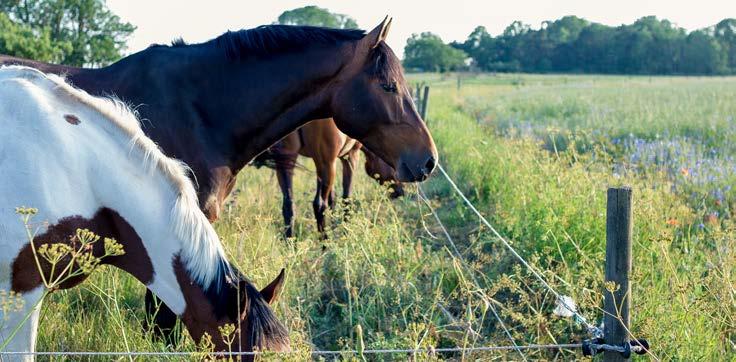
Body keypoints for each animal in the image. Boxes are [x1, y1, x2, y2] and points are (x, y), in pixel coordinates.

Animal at [254, 118, 402, 238]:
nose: (399, 192)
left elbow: (333, 199)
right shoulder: (349, 157)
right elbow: (346, 199)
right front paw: (345, 233)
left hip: (289, 160)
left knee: (288, 205)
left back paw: (291, 246)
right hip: (325, 163)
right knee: (319, 204)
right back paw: (325, 245)